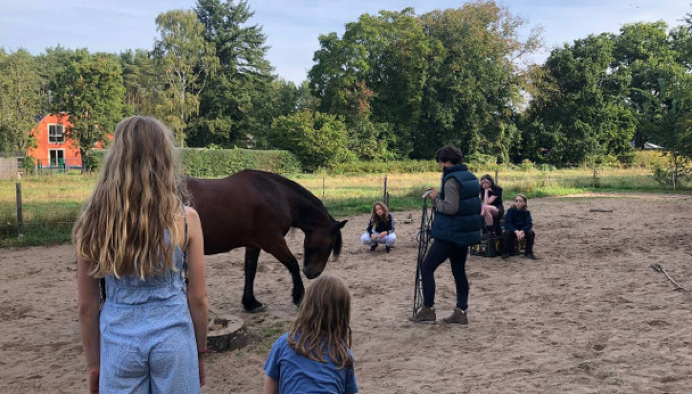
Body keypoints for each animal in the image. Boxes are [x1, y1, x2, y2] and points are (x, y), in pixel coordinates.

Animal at [185, 171, 346, 312]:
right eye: (330, 244)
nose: (313, 273)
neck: (277, 194)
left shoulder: (253, 245)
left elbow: (250, 270)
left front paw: (251, 303)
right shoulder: (272, 241)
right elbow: (293, 264)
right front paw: (299, 297)